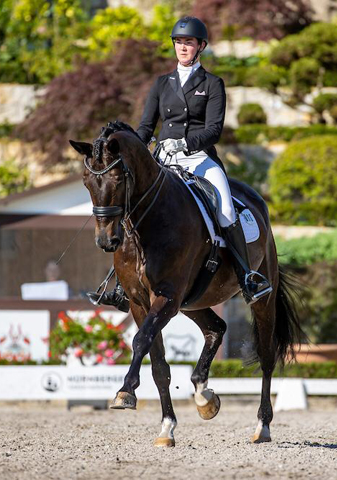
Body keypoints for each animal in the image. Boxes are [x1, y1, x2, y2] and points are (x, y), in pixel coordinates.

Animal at [69, 122, 300, 448]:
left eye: (117, 179)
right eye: (87, 181)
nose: (106, 241)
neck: (145, 224)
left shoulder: (166, 296)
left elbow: (140, 340)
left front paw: (125, 392)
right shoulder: (141, 302)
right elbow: (159, 365)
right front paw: (166, 428)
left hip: (259, 298)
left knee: (266, 357)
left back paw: (262, 427)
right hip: (193, 301)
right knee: (216, 328)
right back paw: (204, 396)